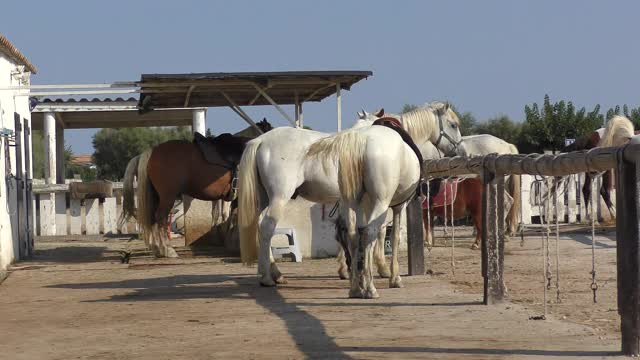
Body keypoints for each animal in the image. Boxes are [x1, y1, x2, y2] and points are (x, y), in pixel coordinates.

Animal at [120, 120, 272, 256]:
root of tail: (150, 153)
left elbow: (223, 215)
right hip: (167, 196)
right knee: (161, 217)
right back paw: (167, 249)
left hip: (156, 196)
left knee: (152, 218)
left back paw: (157, 249)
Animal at [238, 100, 462, 290]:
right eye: (453, 124)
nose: (459, 149)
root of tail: (261, 140)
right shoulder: (385, 204)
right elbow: (380, 232)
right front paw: (383, 270)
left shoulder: (353, 203)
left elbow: (350, 232)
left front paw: (349, 269)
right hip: (279, 197)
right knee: (267, 227)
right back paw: (268, 277)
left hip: (265, 198)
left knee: (260, 226)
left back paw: (275, 273)